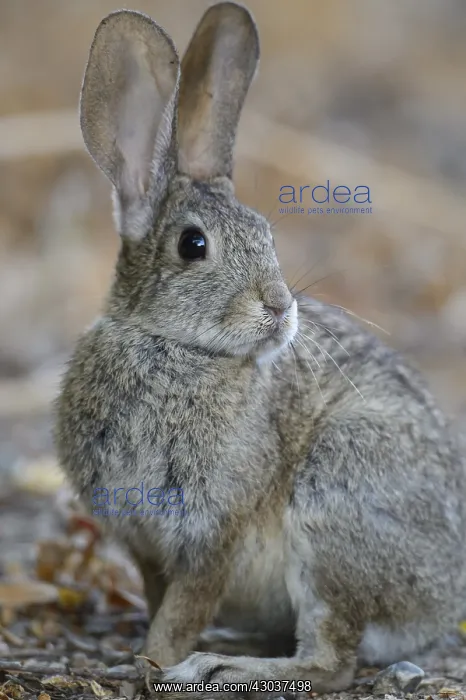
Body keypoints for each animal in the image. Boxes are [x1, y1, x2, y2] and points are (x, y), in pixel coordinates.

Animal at [55, 1, 466, 692]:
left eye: (268, 236)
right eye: (193, 245)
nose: (279, 306)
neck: (173, 347)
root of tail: (441, 604)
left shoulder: (215, 532)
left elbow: (183, 610)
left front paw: (155, 665)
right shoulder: (143, 544)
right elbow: (162, 597)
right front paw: (140, 658)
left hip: (337, 498)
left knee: (330, 662)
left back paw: (220, 665)